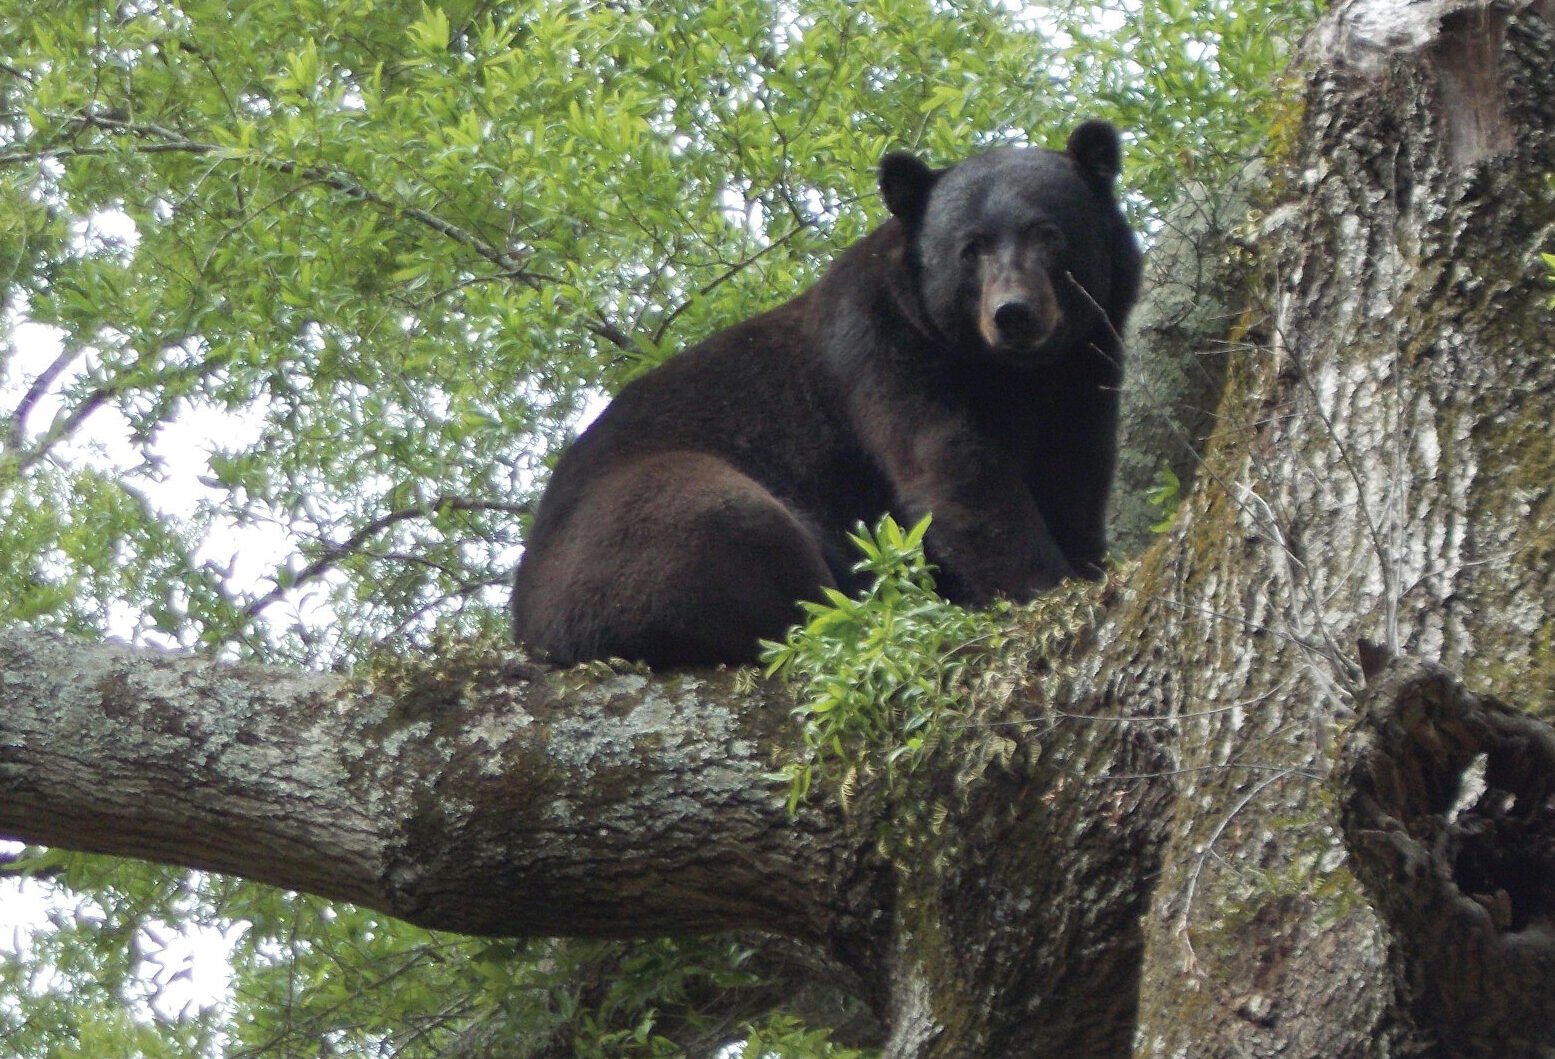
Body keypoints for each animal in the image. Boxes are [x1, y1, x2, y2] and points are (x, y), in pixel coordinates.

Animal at [512, 120, 1142, 668]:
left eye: (1048, 234)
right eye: (972, 247)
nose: (1013, 313)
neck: (1011, 375)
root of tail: (529, 629)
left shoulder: (1084, 368)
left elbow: (1074, 471)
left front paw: (1083, 563)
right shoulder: (885, 353)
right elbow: (954, 470)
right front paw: (1044, 588)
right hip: (627, 534)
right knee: (729, 523)